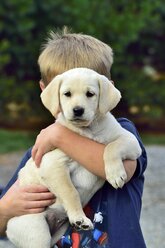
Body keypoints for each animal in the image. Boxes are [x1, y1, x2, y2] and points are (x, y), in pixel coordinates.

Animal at [6, 68, 142, 248]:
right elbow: (70, 192)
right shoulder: (52, 165)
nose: (78, 110)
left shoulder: (130, 140)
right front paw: (80, 218)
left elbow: (111, 147)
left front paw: (115, 174)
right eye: (67, 94)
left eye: (90, 94)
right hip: (36, 231)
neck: (87, 130)